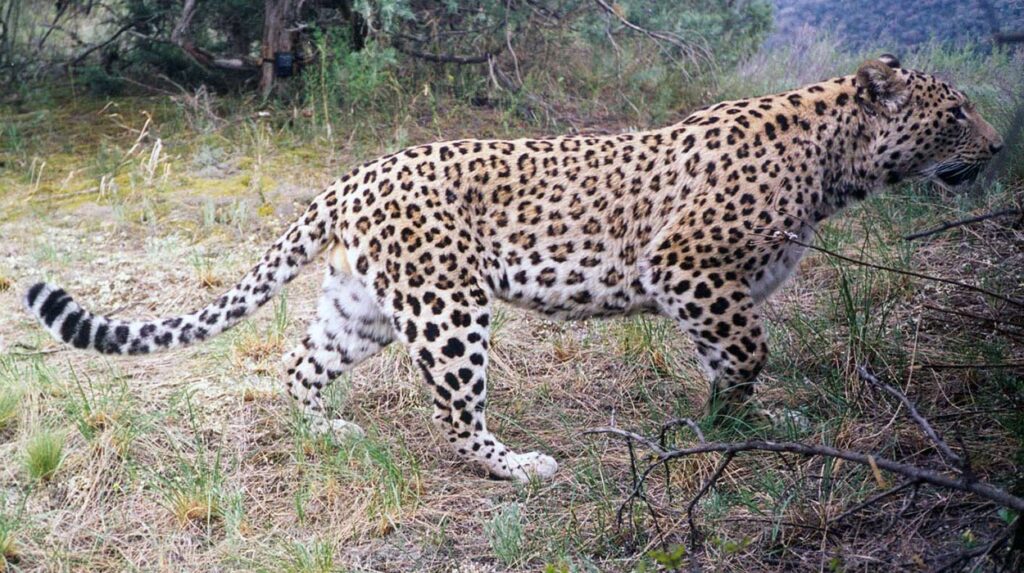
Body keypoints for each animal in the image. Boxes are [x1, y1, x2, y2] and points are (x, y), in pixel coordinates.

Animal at [24, 55, 1003, 482]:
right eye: (955, 114)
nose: (997, 148)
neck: (839, 165)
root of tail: (357, 173)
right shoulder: (691, 270)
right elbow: (748, 352)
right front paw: (726, 425)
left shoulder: (713, 291)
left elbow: (738, 361)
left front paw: (752, 420)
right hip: (449, 306)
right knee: (453, 415)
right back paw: (518, 464)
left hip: (364, 304)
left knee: (299, 362)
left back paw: (329, 433)